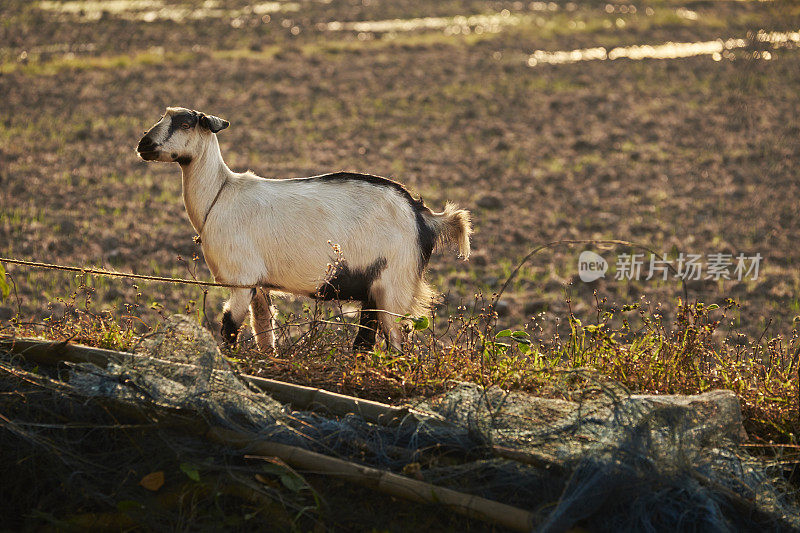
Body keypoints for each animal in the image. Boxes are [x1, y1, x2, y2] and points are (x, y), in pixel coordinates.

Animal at [135, 106, 472, 352]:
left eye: (186, 124)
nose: (143, 144)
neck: (219, 195)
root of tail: (424, 216)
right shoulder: (259, 282)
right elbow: (264, 328)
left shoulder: (241, 278)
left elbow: (230, 326)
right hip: (375, 286)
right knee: (366, 339)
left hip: (395, 285)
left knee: (397, 343)